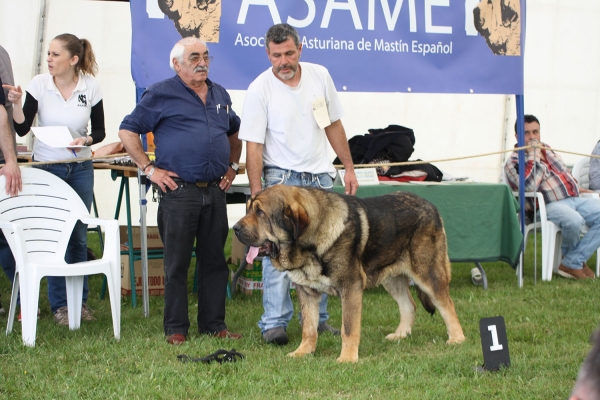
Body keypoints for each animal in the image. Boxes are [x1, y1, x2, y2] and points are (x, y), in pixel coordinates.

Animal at [232, 185, 466, 362]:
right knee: (409, 305)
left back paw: (457, 339)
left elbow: (349, 328)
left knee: (447, 305)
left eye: (260, 212)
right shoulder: (307, 292)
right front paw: (303, 352)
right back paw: (401, 334)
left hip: (428, 274)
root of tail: (430, 205)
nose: (234, 228)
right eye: (248, 209)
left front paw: (347, 359)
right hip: (391, 279)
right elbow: (309, 327)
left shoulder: (350, 287)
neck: (310, 245)